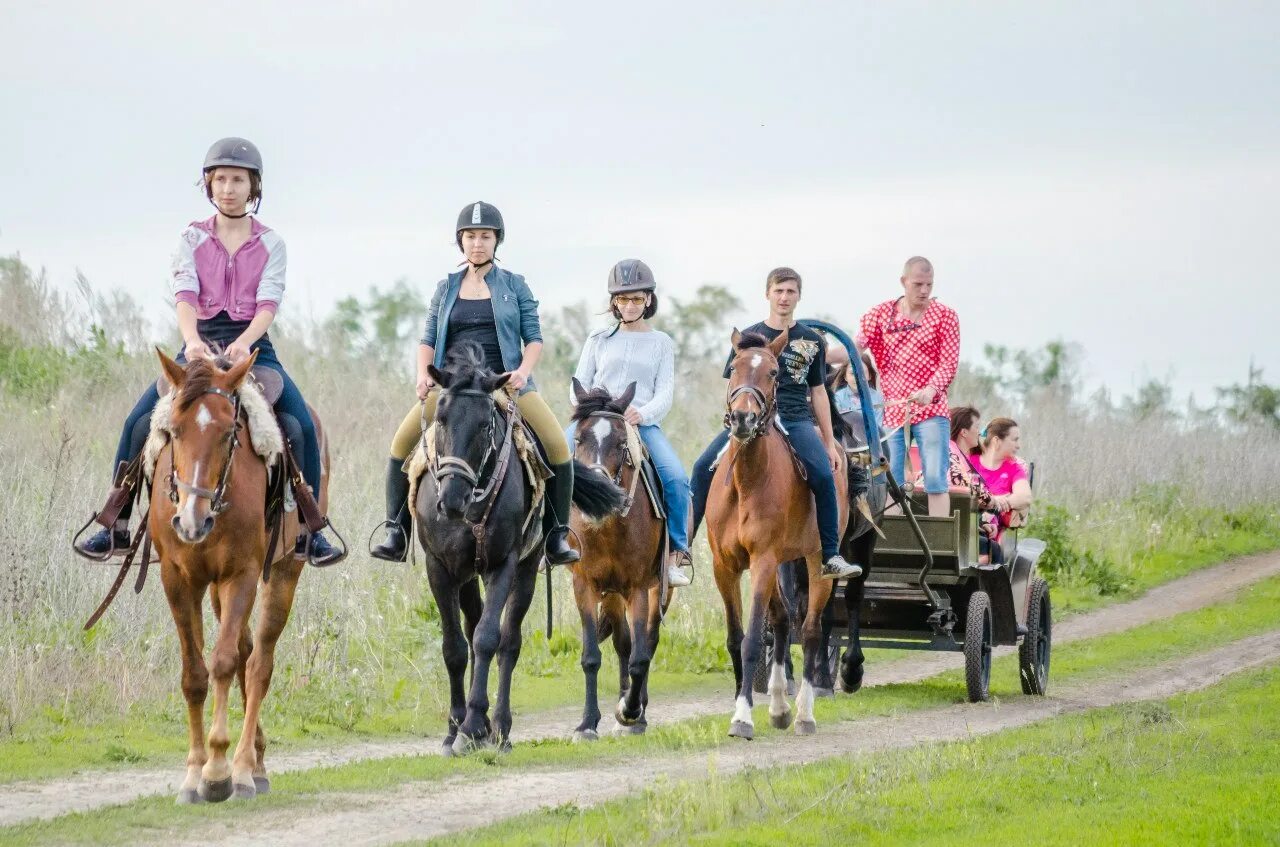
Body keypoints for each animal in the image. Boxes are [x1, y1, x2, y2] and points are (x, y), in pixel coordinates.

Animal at [149, 350, 325, 803]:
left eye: (230, 433)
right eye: (174, 430)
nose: (192, 522)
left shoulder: (242, 574)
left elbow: (225, 662)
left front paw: (216, 772)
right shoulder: (178, 579)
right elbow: (194, 674)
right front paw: (193, 774)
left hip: (282, 573)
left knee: (258, 661)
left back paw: (246, 769)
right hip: (213, 589)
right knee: (246, 651)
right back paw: (255, 761)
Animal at [417, 342, 622, 752]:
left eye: (485, 425)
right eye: (441, 419)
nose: (451, 500)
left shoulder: (504, 564)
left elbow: (487, 640)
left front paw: (473, 726)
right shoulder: (440, 568)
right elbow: (454, 647)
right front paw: (454, 730)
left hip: (525, 571)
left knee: (508, 642)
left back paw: (499, 729)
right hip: (468, 576)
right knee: (470, 630)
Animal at [568, 381, 670, 742]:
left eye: (622, 444)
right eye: (578, 439)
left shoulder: (639, 587)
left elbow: (642, 656)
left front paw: (630, 711)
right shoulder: (585, 585)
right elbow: (591, 656)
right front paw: (586, 723)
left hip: (656, 591)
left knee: (646, 643)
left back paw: (635, 712)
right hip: (612, 595)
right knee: (623, 642)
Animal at [706, 327, 844, 742]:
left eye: (772, 373)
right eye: (734, 368)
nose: (743, 417)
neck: (747, 480)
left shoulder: (764, 561)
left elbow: (752, 638)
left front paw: (742, 717)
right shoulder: (726, 567)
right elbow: (736, 638)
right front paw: (745, 703)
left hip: (813, 563)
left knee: (812, 630)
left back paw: (803, 714)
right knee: (783, 620)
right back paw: (780, 706)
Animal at [757, 318, 1049, 701]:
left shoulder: (836, 547)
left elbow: (826, 605)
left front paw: (822, 676)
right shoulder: (786, 554)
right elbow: (791, 607)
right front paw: (787, 674)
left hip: (863, 541)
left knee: (851, 598)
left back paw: (848, 670)